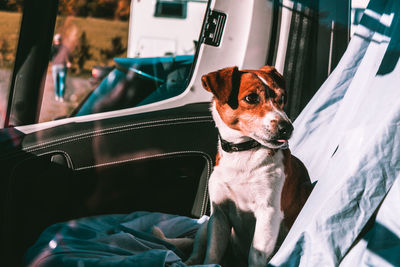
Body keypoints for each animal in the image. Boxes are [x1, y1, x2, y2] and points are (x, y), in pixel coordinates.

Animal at [155, 66, 314, 266]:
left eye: (282, 97)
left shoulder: (268, 213)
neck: (243, 154)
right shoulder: (219, 214)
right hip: (206, 226)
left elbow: (256, 254)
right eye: (251, 98)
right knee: (197, 250)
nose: (287, 128)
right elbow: (212, 251)